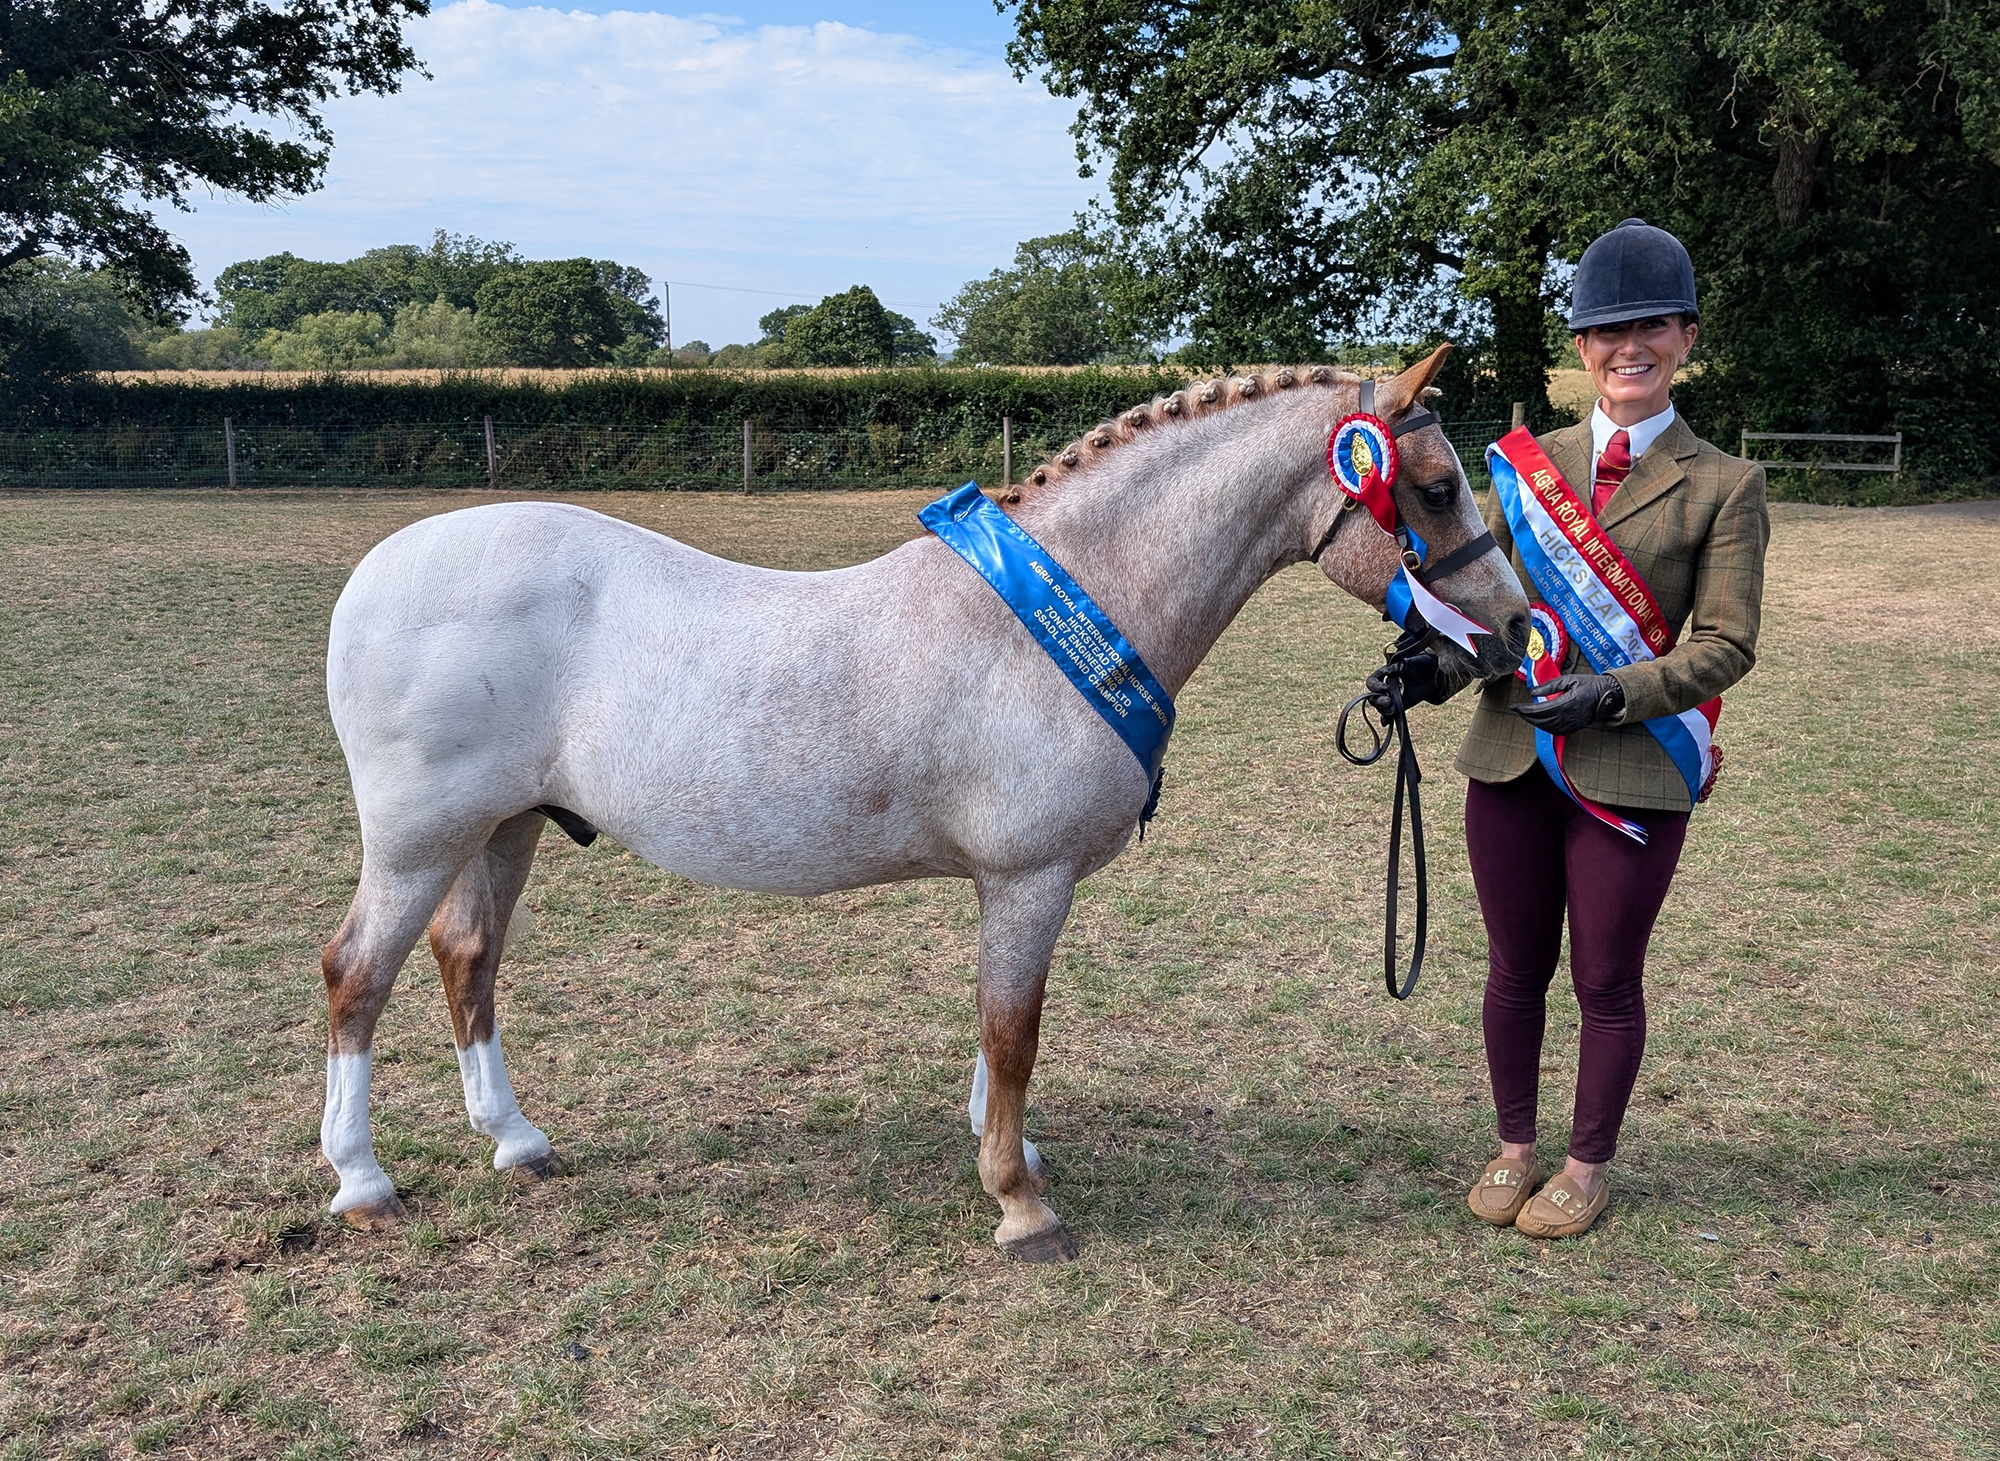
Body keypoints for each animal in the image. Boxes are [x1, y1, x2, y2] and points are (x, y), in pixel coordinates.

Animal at [316, 345, 1530, 1262]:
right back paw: (363, 1180)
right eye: (1432, 487)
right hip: (421, 841)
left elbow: (1000, 1034)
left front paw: (1011, 1155)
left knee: (466, 960)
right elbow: (1013, 1030)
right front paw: (1021, 1206)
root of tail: (377, 572)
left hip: (504, 830)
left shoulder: (1016, 884)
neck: (1061, 611)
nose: (1515, 633)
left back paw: (516, 1141)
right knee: (357, 975)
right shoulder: (1028, 877)